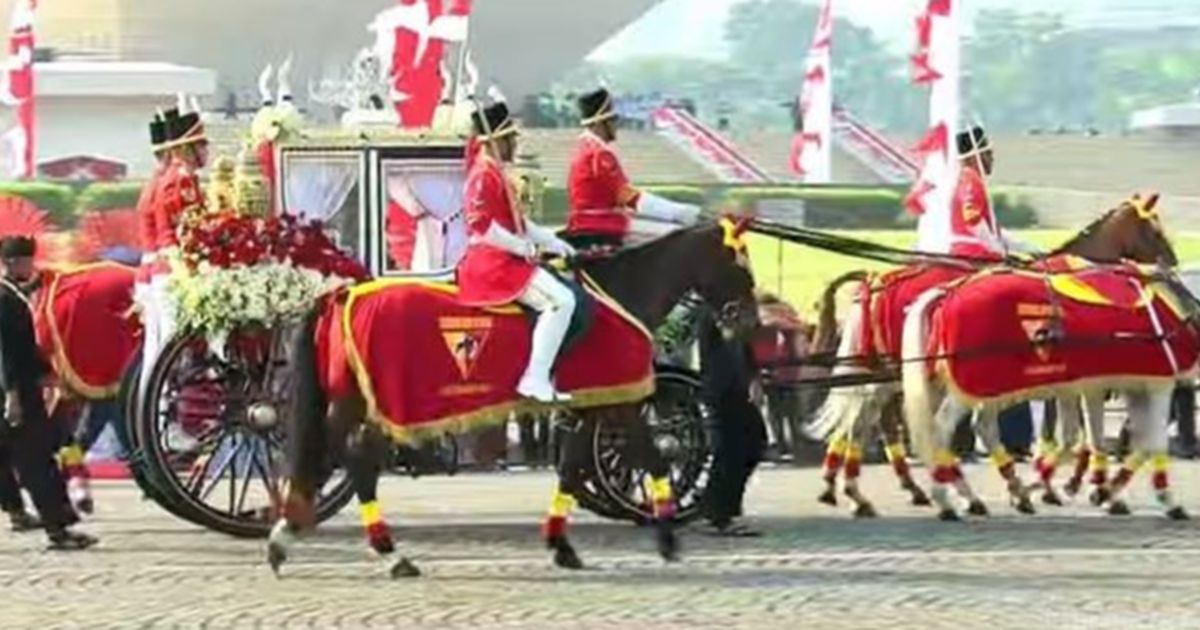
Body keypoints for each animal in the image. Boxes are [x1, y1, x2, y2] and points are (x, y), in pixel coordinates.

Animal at [272, 218, 758, 578]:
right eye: (741, 266)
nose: (750, 321)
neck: (618, 293)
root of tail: (342, 294)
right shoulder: (618, 403)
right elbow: (655, 456)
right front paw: (667, 538)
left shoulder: (587, 406)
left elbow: (571, 469)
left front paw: (561, 545)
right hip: (368, 404)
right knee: (346, 458)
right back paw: (364, 546)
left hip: (363, 404)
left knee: (342, 457)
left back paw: (304, 533)